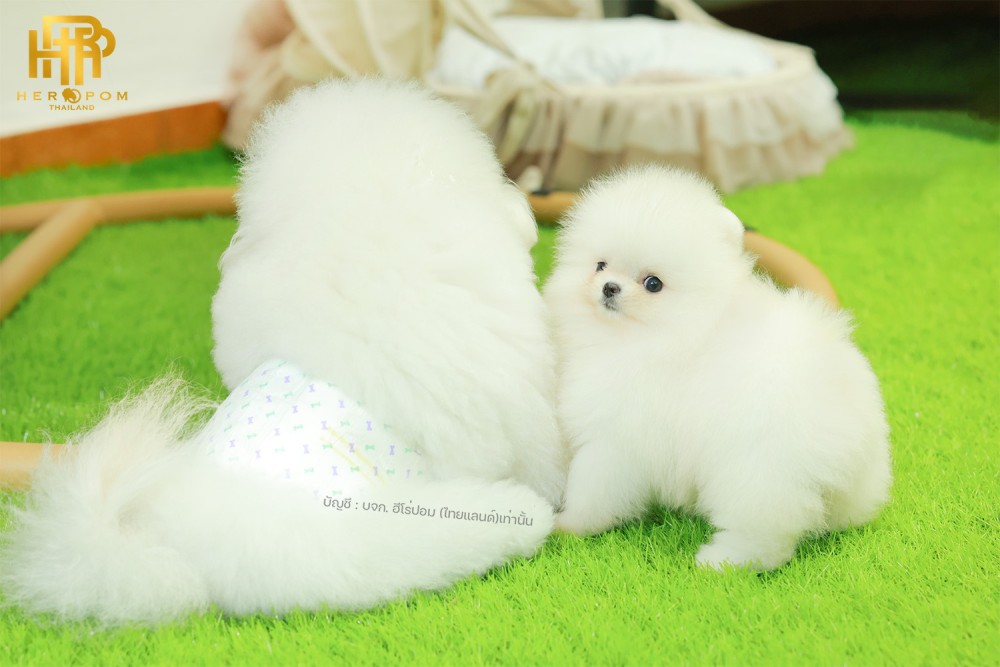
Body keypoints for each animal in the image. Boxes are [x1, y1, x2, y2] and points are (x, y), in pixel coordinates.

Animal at [544, 164, 891, 571]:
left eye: (653, 283)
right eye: (600, 265)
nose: (609, 287)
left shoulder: (616, 438)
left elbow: (594, 490)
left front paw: (568, 524)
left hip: (758, 473)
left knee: (765, 534)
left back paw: (720, 561)